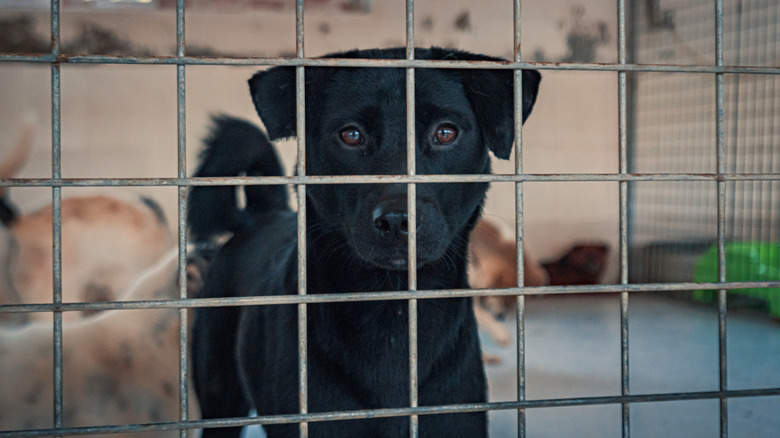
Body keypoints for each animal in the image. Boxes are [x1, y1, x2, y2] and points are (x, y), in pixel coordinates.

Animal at [190, 48, 544, 438]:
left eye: (445, 132)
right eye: (351, 135)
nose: (398, 221)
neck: (391, 310)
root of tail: (261, 215)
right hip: (221, 399)